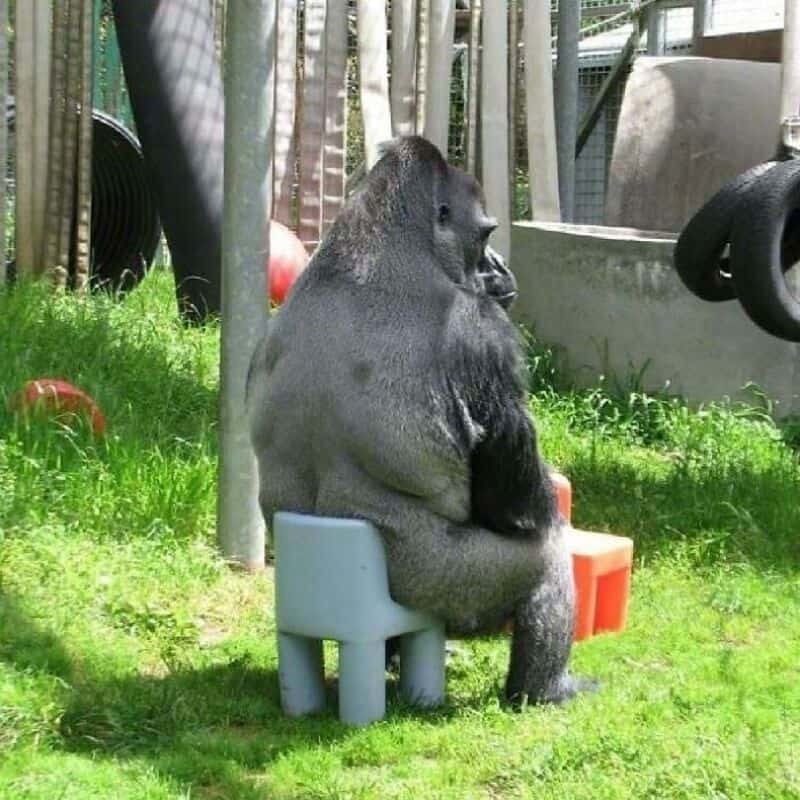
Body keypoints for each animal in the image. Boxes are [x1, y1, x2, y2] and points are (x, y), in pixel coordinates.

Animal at [247, 136, 594, 705]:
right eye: (486, 233)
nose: (499, 267)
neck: (374, 251)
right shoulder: (482, 329)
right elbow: (520, 503)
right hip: (439, 583)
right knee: (546, 562)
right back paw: (544, 690)